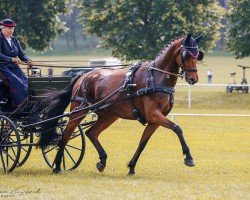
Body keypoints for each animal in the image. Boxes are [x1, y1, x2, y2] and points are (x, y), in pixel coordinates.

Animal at [38, 33, 203, 174]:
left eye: (198, 54)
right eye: (186, 54)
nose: (193, 79)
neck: (156, 77)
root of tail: (83, 75)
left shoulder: (154, 120)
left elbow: (143, 143)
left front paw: (131, 167)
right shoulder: (154, 115)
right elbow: (177, 128)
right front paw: (189, 157)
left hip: (109, 115)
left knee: (91, 133)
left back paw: (102, 161)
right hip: (79, 110)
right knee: (66, 135)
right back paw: (57, 166)